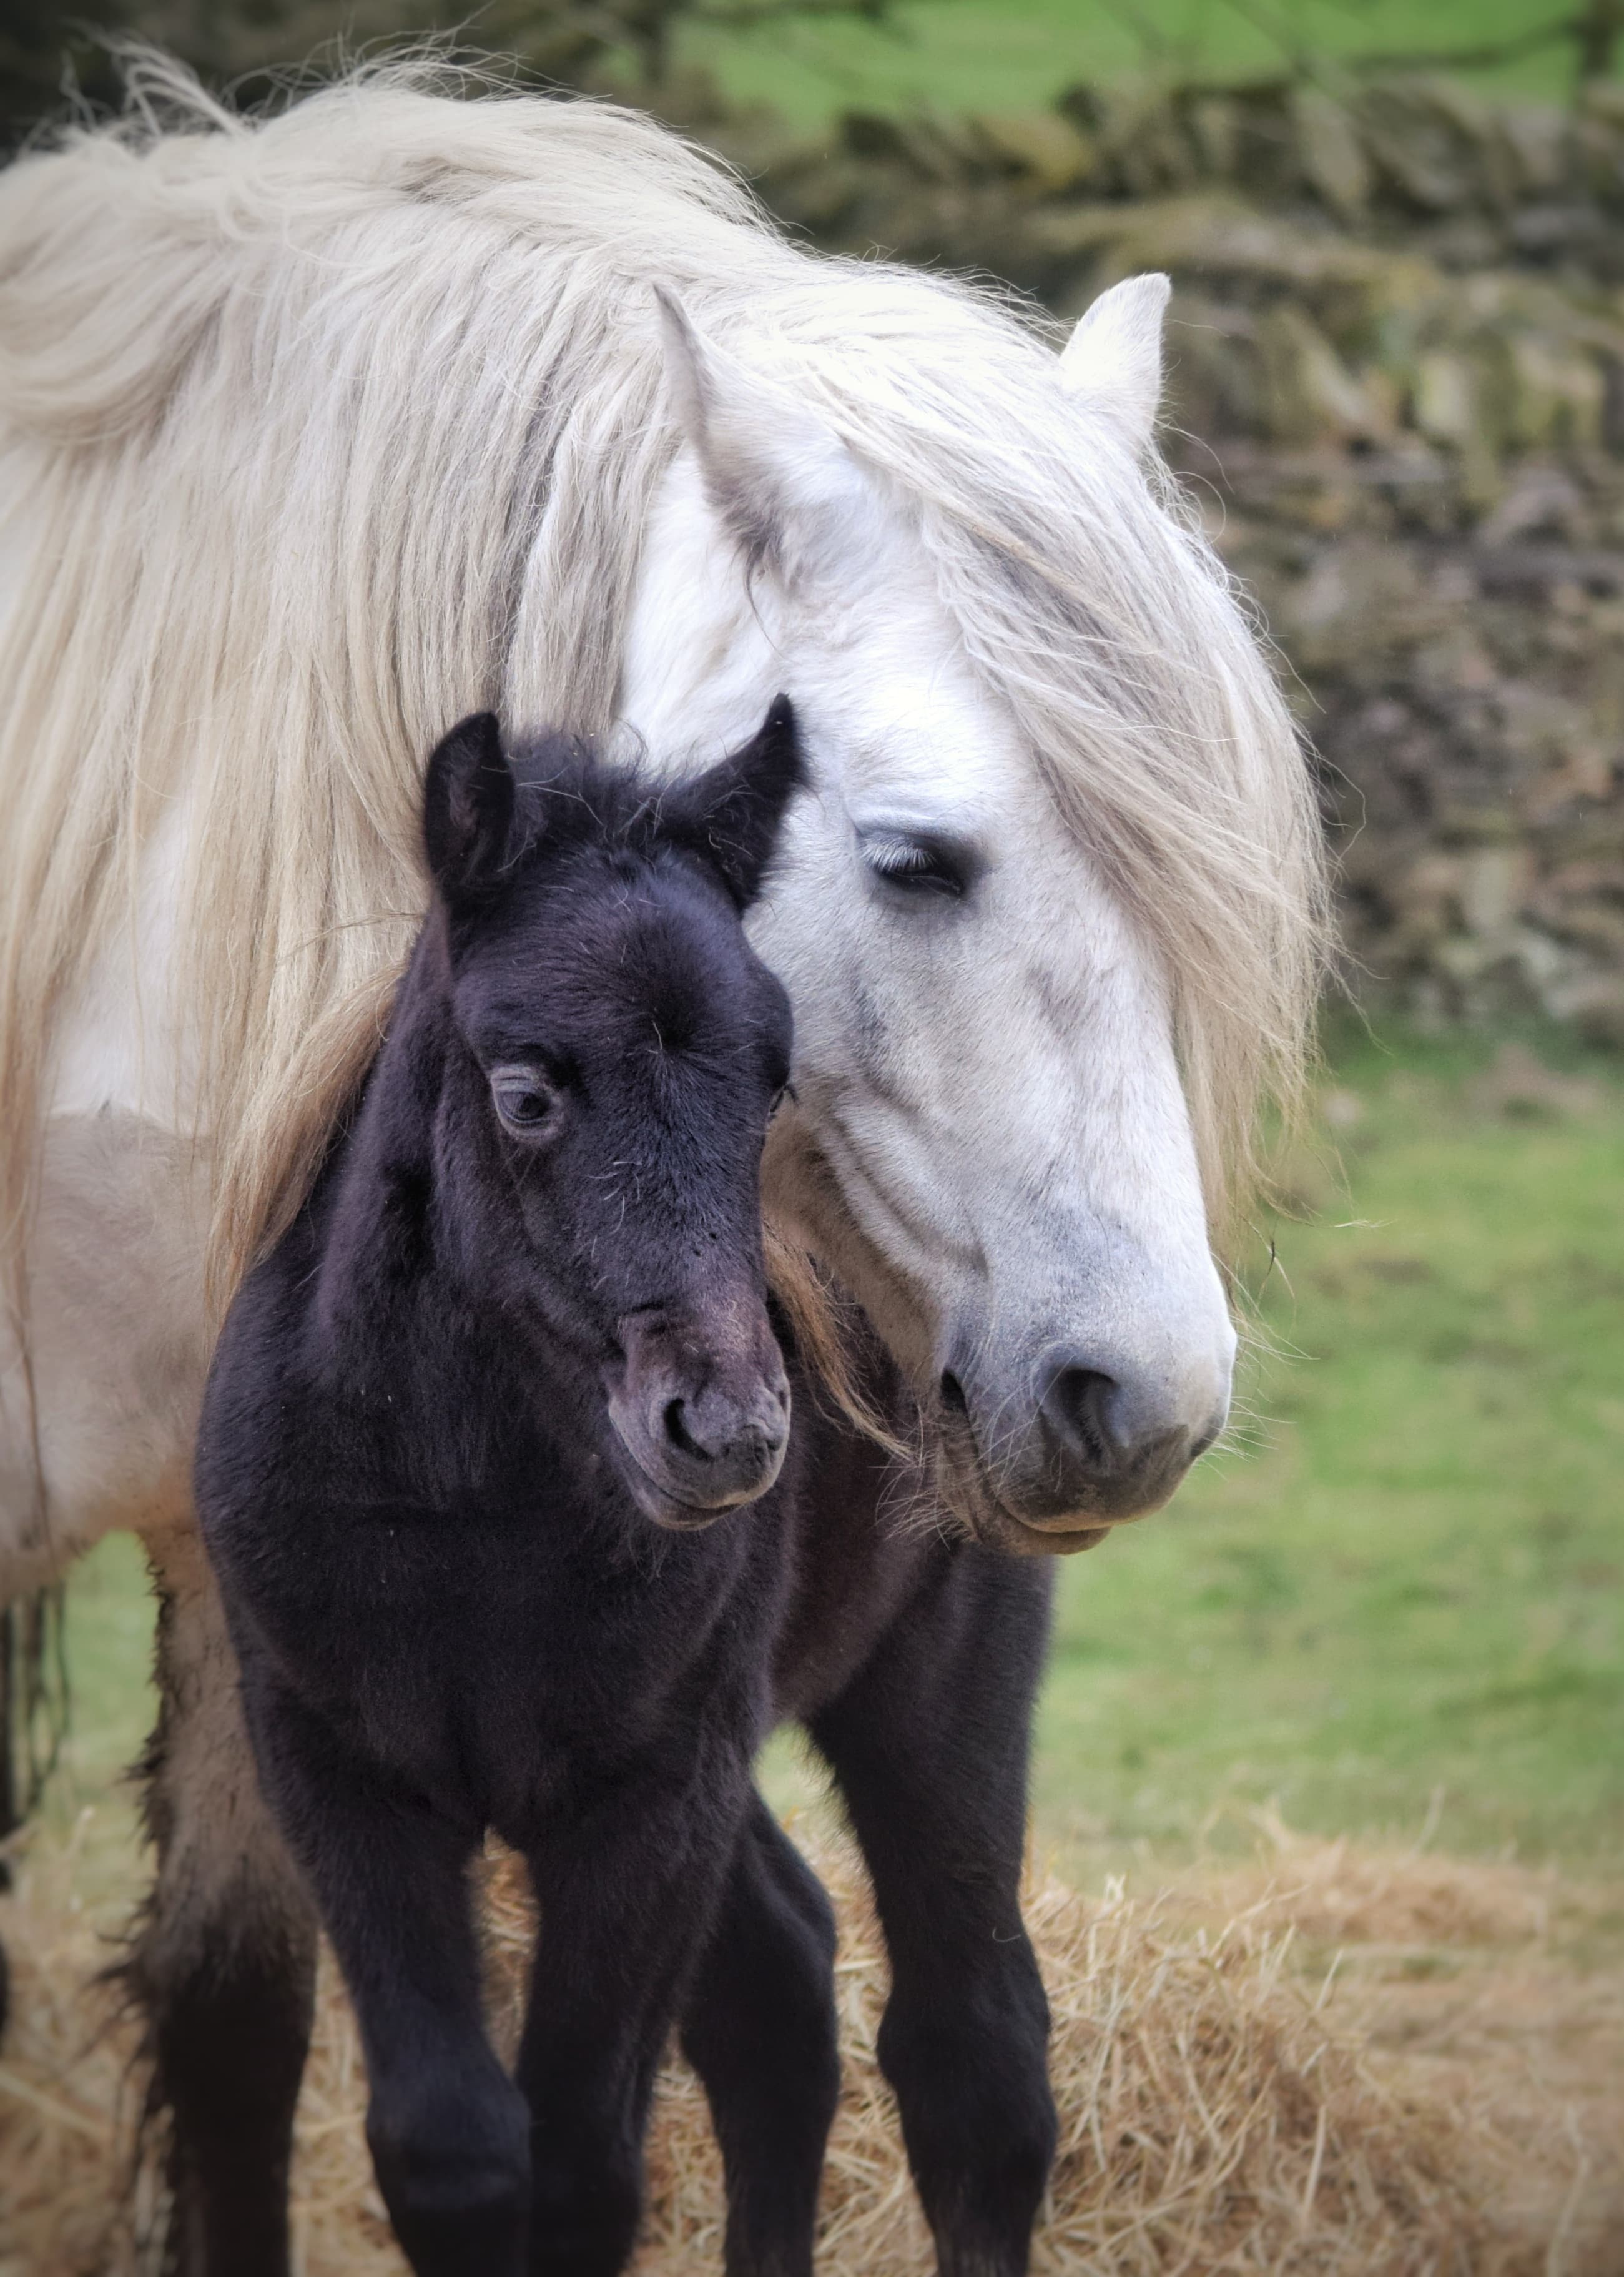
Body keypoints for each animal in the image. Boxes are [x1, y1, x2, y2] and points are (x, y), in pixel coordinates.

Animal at [197, 701, 1056, 2277]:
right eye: (527, 1090)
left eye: (772, 1079)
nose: (723, 1429)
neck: (465, 1510)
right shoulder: (339, 1768)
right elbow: (456, 2145)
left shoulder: (643, 1797)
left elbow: (585, 2160)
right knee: (782, 1979)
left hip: (931, 1672)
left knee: (974, 2055)